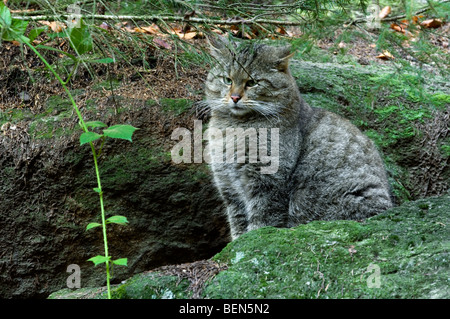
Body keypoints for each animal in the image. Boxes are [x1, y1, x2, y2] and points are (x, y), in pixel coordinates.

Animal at [200, 36, 390, 240]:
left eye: (252, 82)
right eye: (227, 80)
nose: (234, 97)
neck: (234, 128)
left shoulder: (267, 183)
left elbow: (261, 221)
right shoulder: (229, 187)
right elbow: (238, 223)